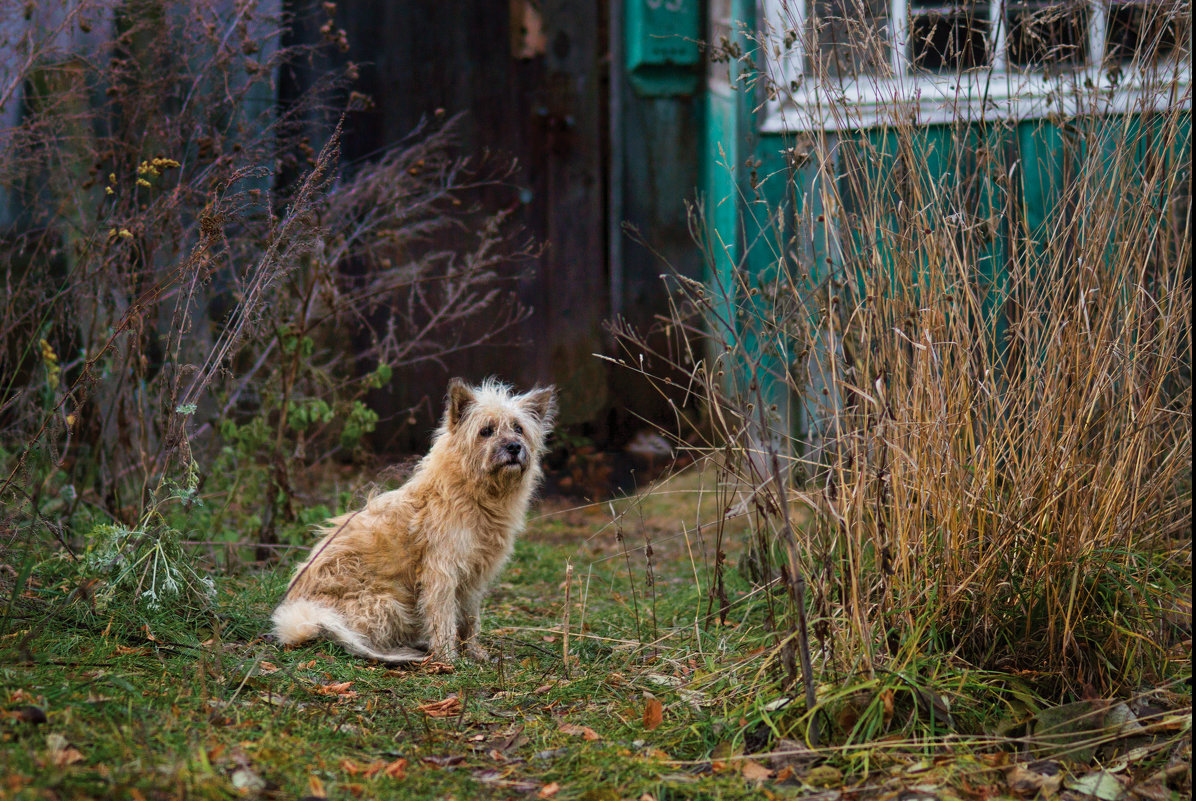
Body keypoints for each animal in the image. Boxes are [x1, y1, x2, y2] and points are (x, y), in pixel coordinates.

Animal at [273, 380, 557, 659]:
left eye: (518, 428)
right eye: (486, 431)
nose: (514, 447)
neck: (476, 495)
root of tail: (310, 616)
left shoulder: (474, 578)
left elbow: (470, 618)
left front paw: (473, 650)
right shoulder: (442, 572)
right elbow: (443, 617)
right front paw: (448, 657)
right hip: (388, 602)